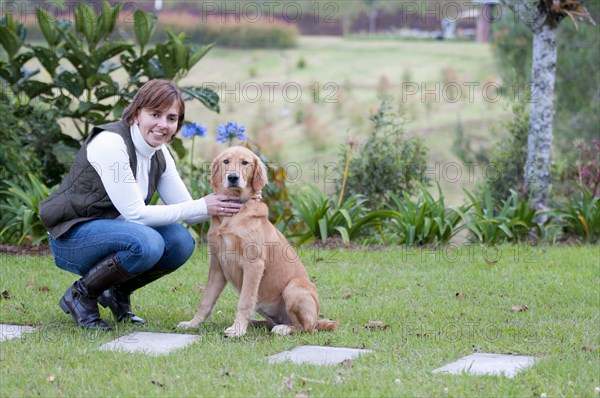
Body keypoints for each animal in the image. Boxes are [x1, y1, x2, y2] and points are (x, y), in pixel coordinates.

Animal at [177, 145, 338, 338]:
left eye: (245, 162)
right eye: (226, 161)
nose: (233, 177)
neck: (234, 213)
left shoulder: (253, 264)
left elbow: (244, 301)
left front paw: (238, 329)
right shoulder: (217, 265)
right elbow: (206, 300)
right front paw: (192, 324)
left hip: (294, 288)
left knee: (304, 328)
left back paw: (283, 328)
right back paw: (256, 323)